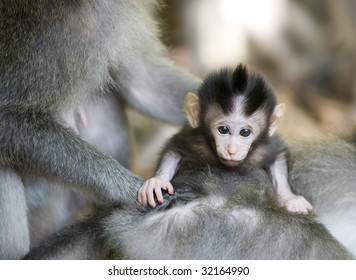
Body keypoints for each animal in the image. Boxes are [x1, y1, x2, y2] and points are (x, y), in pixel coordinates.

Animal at [138, 64, 312, 214]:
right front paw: (157, 182)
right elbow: (174, 149)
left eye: (245, 132)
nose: (232, 150)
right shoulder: (197, 141)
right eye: (223, 130)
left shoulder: (263, 149)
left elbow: (278, 157)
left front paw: (290, 198)